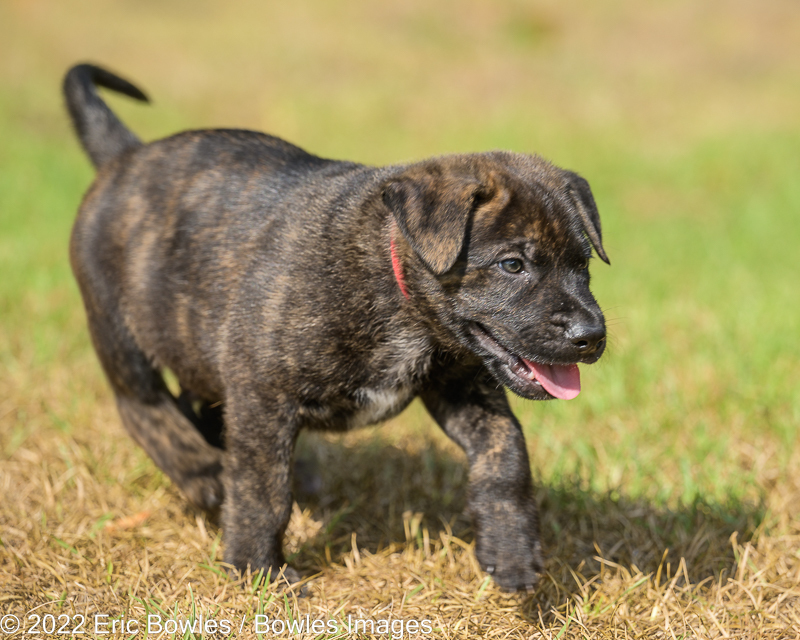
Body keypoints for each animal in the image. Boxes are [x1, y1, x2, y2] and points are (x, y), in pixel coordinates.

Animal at [65, 63, 608, 592]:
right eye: (512, 265)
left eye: (584, 264)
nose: (591, 335)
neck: (399, 294)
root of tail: (127, 156)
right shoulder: (263, 394)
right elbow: (262, 492)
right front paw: (257, 571)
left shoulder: (462, 387)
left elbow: (506, 453)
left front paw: (512, 551)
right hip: (116, 326)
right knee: (143, 406)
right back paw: (201, 471)